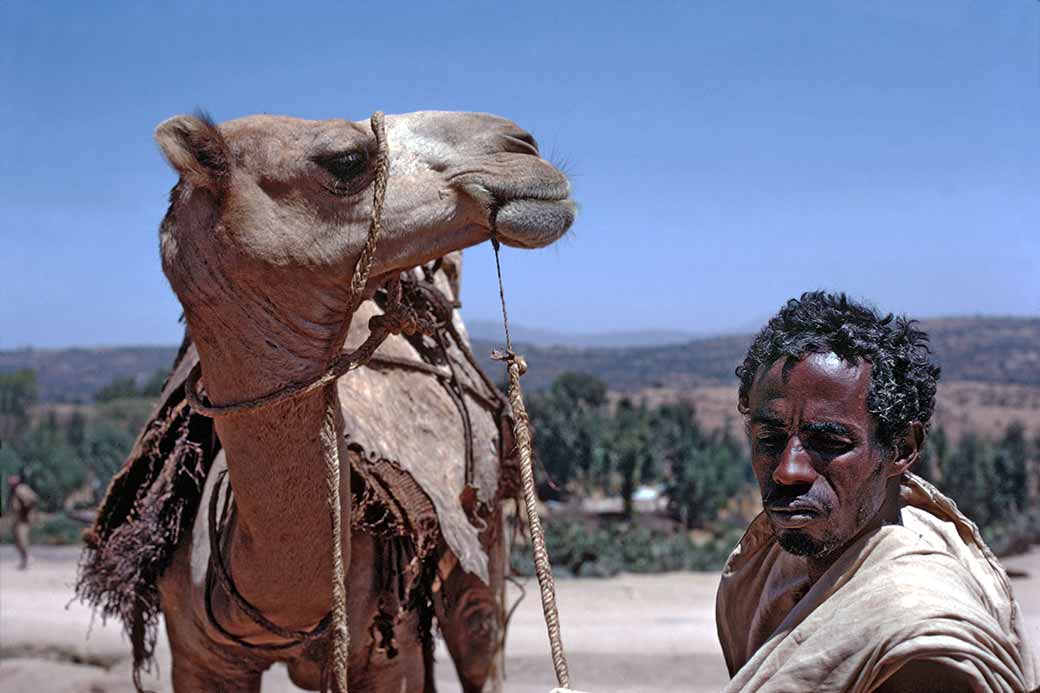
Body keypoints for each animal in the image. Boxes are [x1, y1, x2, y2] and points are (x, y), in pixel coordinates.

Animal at [76, 110, 574, 686]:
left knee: (480, 639)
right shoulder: (198, 656)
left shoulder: (386, 654)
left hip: (484, 535)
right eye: (346, 159)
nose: (523, 146)